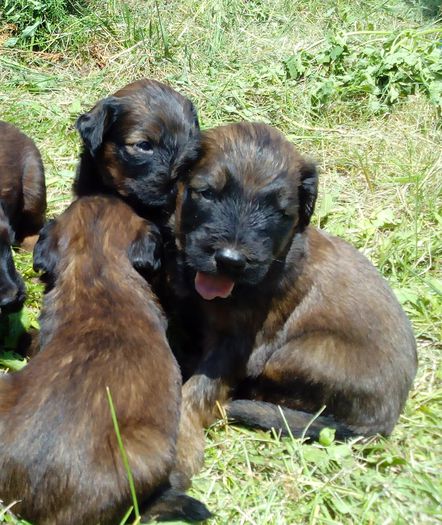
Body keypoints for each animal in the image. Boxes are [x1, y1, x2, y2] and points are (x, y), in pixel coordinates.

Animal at [168, 122, 418, 488]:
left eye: (279, 213)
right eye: (208, 193)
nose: (230, 260)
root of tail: (384, 422)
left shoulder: (238, 344)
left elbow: (197, 390)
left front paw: (180, 449)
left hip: (301, 354)